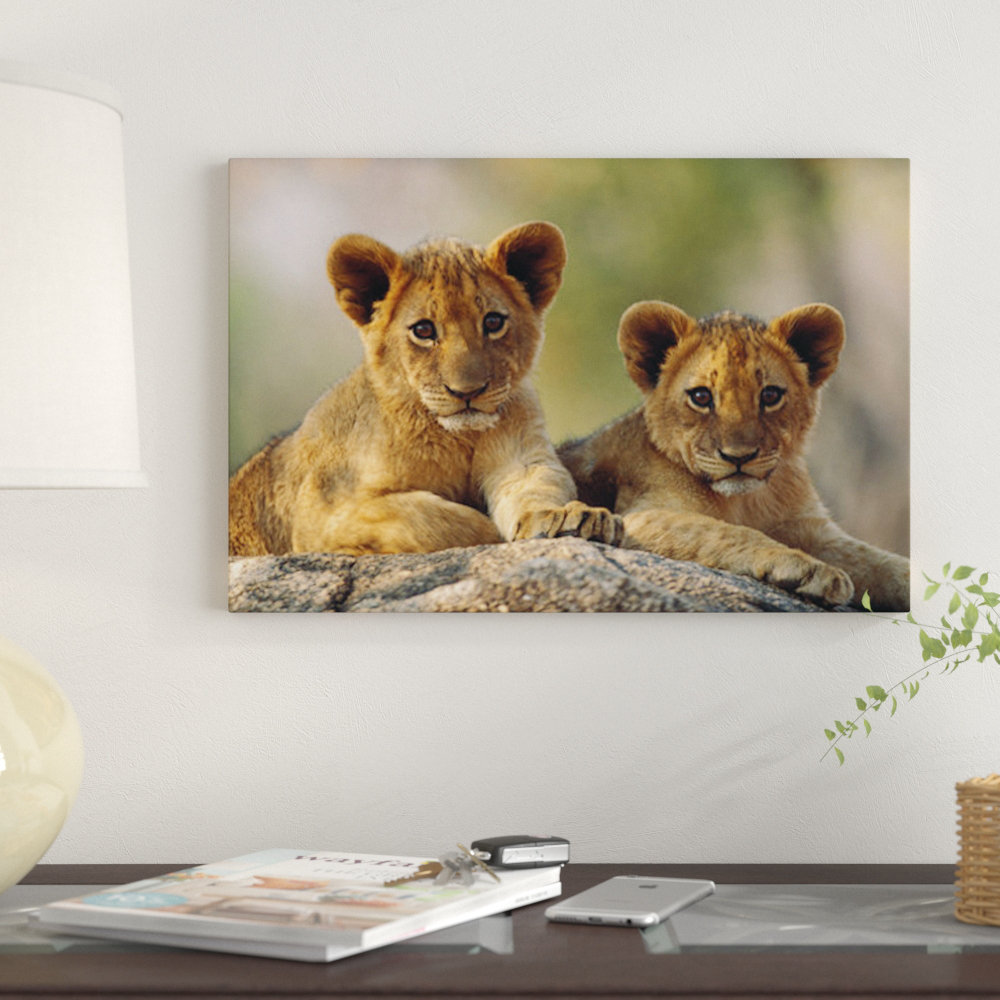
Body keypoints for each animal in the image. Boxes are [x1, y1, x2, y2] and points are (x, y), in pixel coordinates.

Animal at [229, 221, 622, 558]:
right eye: (423, 330)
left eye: (493, 322)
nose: (467, 391)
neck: (458, 440)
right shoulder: (323, 509)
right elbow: (435, 520)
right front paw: (492, 535)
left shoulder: (523, 457)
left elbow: (538, 487)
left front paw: (569, 518)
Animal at [558, 301, 910, 609]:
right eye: (701, 397)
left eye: (770, 395)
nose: (739, 456)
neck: (747, 500)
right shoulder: (642, 517)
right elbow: (731, 532)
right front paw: (811, 570)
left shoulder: (814, 528)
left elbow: (878, 560)